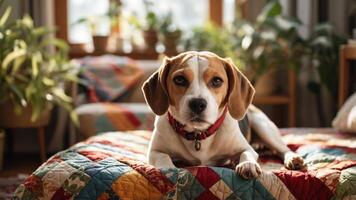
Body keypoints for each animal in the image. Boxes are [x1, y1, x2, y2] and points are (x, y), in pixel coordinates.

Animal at [142, 51, 304, 178]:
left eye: (217, 81)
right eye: (179, 79)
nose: (197, 104)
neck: (198, 135)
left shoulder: (246, 148)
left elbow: (246, 153)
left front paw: (247, 165)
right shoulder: (154, 151)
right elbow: (163, 157)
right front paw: (168, 168)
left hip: (264, 126)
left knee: (283, 149)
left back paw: (293, 159)